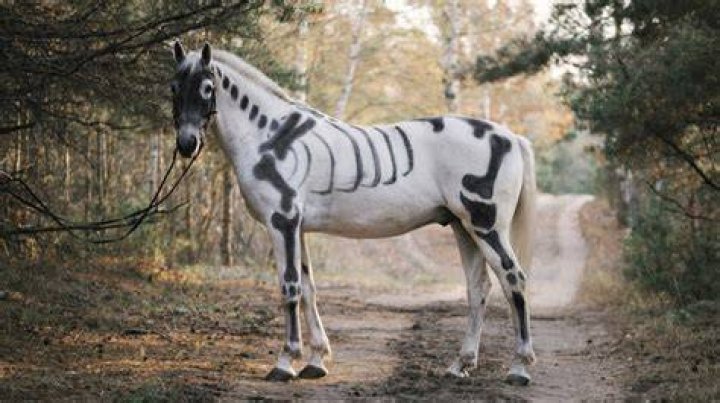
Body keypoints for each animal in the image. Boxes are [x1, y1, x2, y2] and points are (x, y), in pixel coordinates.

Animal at [169, 42, 537, 385]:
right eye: (173, 87)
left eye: (207, 87)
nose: (186, 144)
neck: (272, 136)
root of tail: (510, 137)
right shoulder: (298, 228)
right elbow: (309, 289)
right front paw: (316, 361)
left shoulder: (282, 222)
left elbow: (290, 287)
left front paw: (285, 362)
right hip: (463, 227)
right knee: (478, 288)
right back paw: (460, 365)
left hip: (486, 225)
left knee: (513, 280)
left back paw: (519, 368)